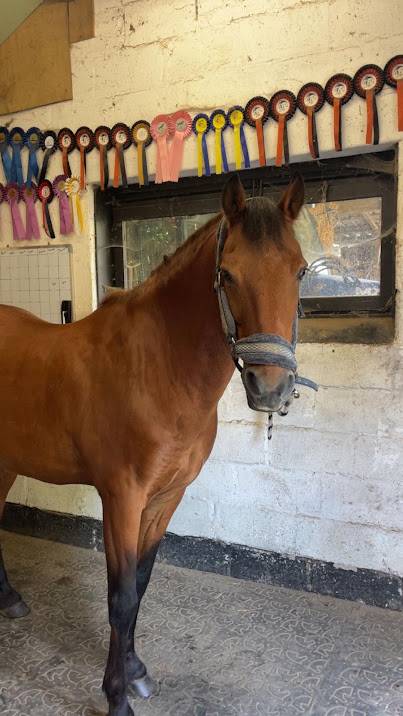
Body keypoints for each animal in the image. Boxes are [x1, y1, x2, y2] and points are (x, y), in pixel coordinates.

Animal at [0, 173, 308, 716]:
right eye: (227, 274)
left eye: (301, 271)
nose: (270, 388)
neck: (157, 370)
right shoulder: (122, 499)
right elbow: (120, 597)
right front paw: (116, 695)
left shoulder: (166, 498)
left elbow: (140, 586)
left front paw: (136, 670)